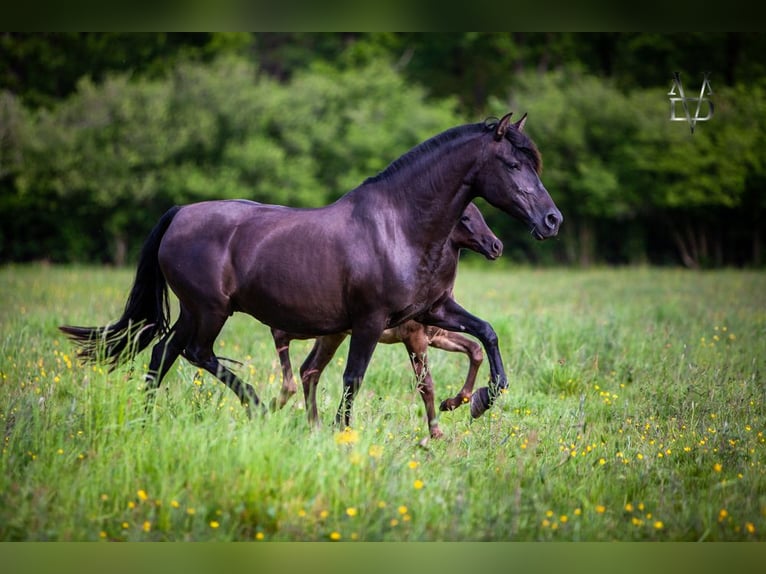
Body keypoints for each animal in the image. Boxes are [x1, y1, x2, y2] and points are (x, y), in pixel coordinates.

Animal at [270, 200, 504, 438]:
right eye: (464, 217)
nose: (496, 246)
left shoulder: (437, 336)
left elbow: (474, 351)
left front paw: (455, 403)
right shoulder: (414, 337)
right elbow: (426, 384)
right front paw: (437, 432)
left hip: (332, 335)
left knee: (309, 370)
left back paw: (311, 423)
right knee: (282, 335)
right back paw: (282, 398)